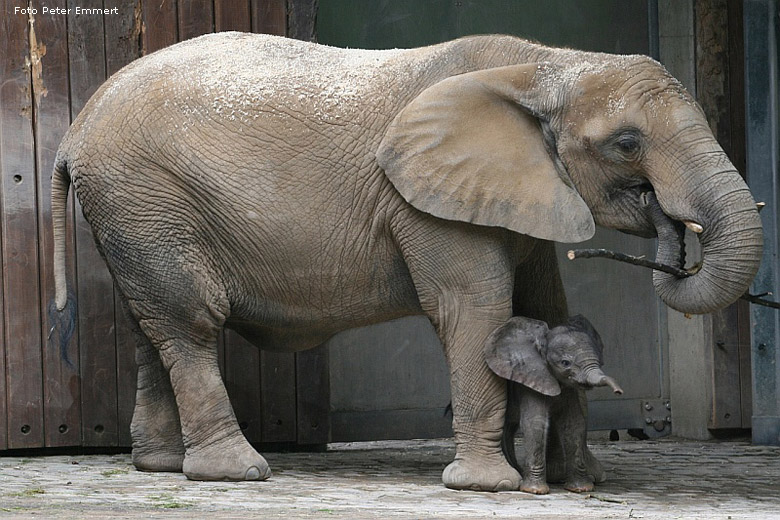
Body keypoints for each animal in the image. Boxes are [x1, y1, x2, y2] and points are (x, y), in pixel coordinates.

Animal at [484, 314, 624, 494]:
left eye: (599, 360)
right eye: (565, 363)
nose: (618, 392)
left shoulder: (568, 389)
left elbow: (574, 424)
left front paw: (582, 489)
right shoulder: (532, 381)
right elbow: (535, 424)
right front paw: (535, 491)